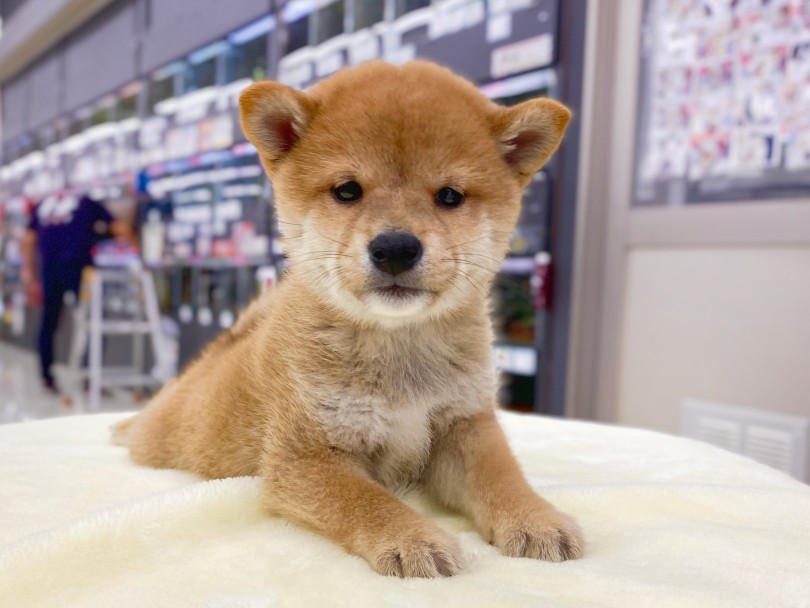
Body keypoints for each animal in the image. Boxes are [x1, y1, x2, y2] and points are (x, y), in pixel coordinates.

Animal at [113, 59, 580, 576]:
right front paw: (412, 538)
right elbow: (366, 500)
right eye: (348, 191)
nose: (395, 247)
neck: (399, 352)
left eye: (450, 196)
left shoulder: (465, 425)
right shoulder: (306, 456)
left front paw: (534, 517)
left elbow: (502, 476)